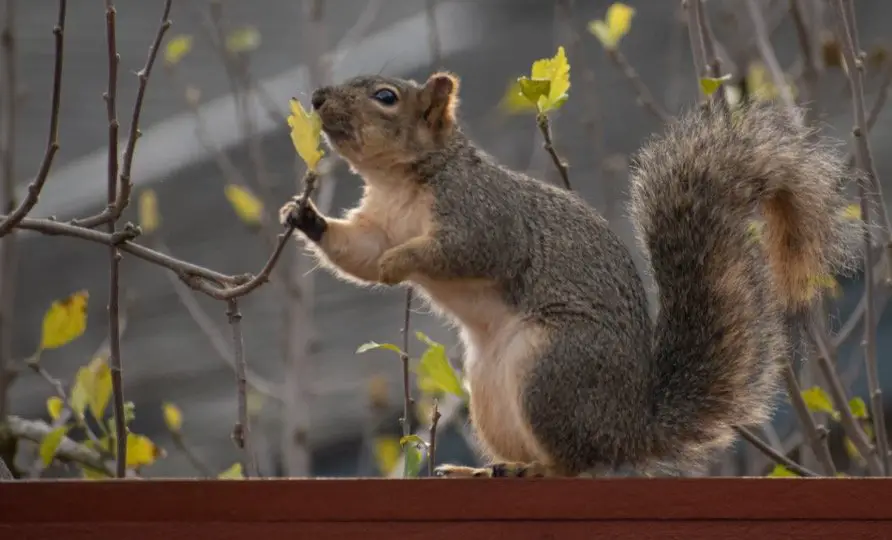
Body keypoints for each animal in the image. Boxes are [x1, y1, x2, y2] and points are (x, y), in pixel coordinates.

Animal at [282, 70, 860, 476]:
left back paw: (535, 469)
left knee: (576, 462)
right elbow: (357, 252)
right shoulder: (378, 223)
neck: (401, 183)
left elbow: (463, 252)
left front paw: (398, 262)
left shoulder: (483, 216)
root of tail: (628, 428)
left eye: (385, 96)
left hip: (553, 370)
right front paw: (302, 215)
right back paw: (484, 470)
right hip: (490, 392)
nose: (317, 98)